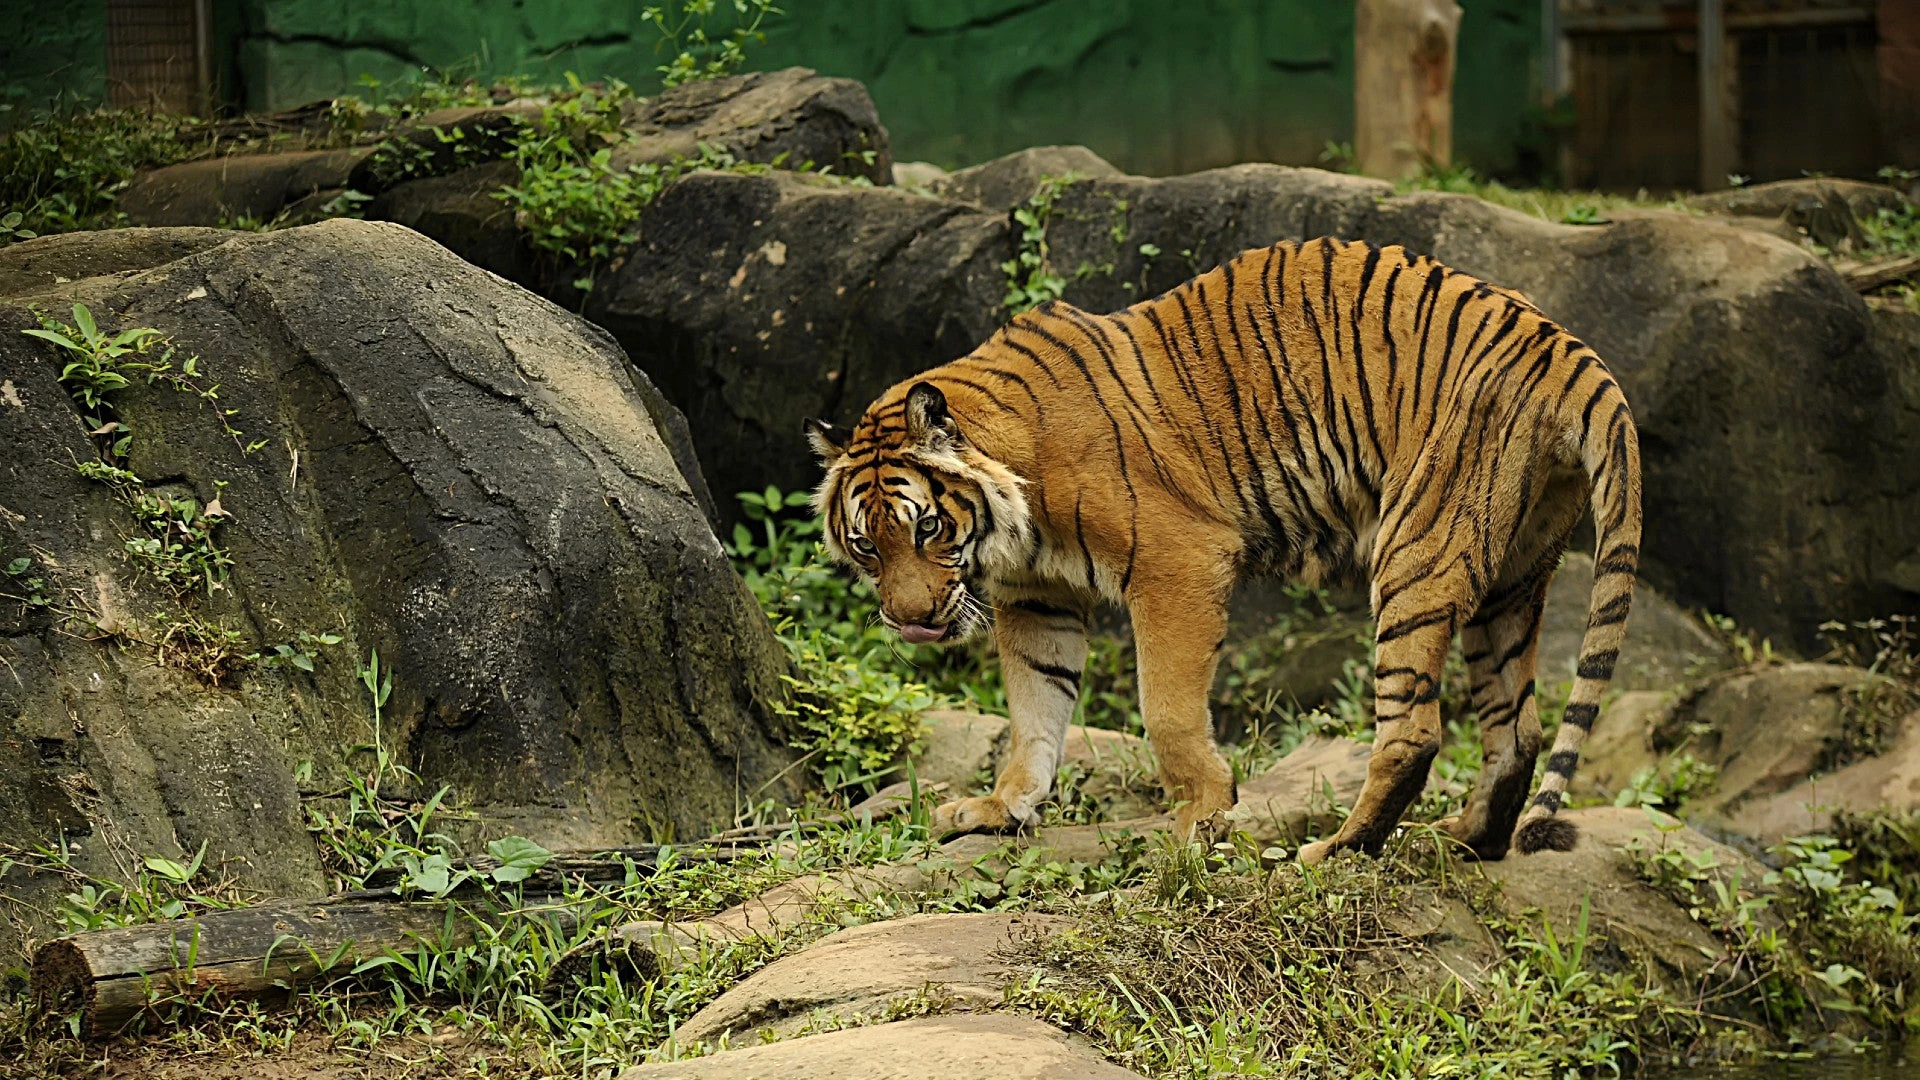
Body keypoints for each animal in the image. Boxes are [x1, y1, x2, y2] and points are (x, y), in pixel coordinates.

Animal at [802, 235, 1643, 857]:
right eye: (868, 548)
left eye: (928, 528)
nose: (913, 622)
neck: (1017, 509)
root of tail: (1560, 343)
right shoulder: (1039, 603)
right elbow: (1035, 708)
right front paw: (1003, 808)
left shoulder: (1176, 561)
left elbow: (1167, 709)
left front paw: (1200, 817)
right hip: (1512, 575)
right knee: (1518, 728)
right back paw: (1464, 839)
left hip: (1419, 550)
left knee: (1414, 728)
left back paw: (1334, 851)